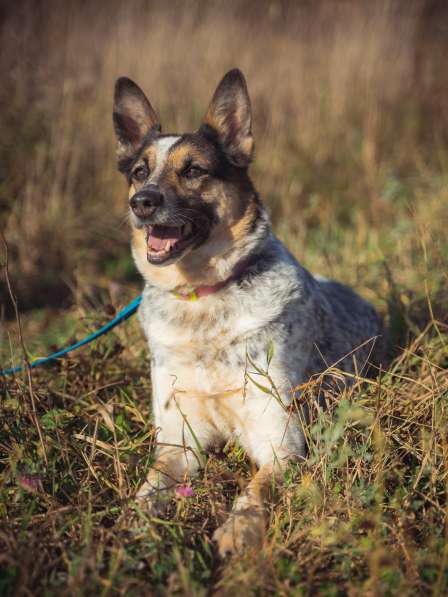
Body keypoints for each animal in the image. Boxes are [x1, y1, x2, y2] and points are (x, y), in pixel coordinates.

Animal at [112, 68, 382, 556]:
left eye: (194, 170)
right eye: (140, 172)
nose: (141, 202)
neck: (202, 295)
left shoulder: (282, 444)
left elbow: (255, 490)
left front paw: (238, 531)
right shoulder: (178, 443)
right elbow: (150, 488)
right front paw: (130, 526)